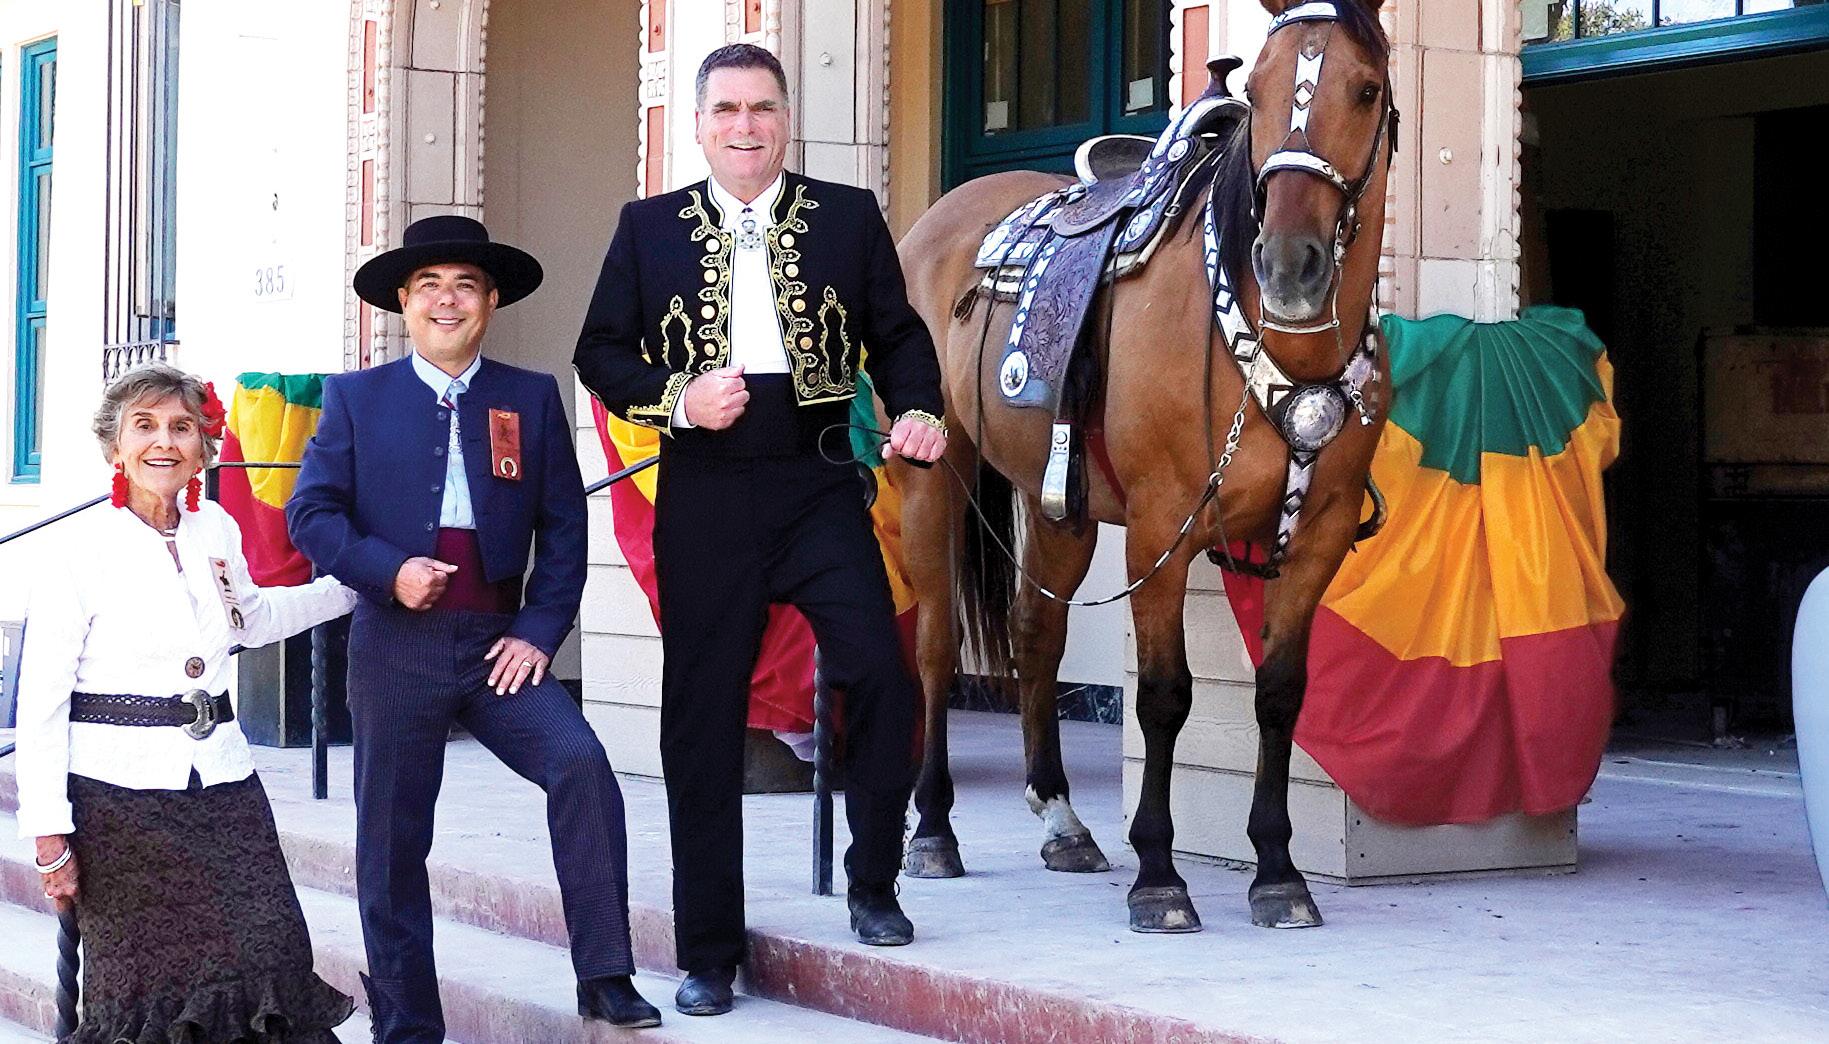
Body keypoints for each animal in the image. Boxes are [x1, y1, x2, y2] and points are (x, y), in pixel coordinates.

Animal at [892, 0, 1390, 932]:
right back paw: (933, 830)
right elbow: (1163, 695)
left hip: (1059, 504)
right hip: (930, 477)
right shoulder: (1161, 527)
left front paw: (1277, 871)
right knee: (937, 646)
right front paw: (1158, 873)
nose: (1289, 265)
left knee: (1034, 635)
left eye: (1366, 88)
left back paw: (1061, 819)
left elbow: (1279, 693)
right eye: (1260, 86)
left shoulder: (1317, 539)